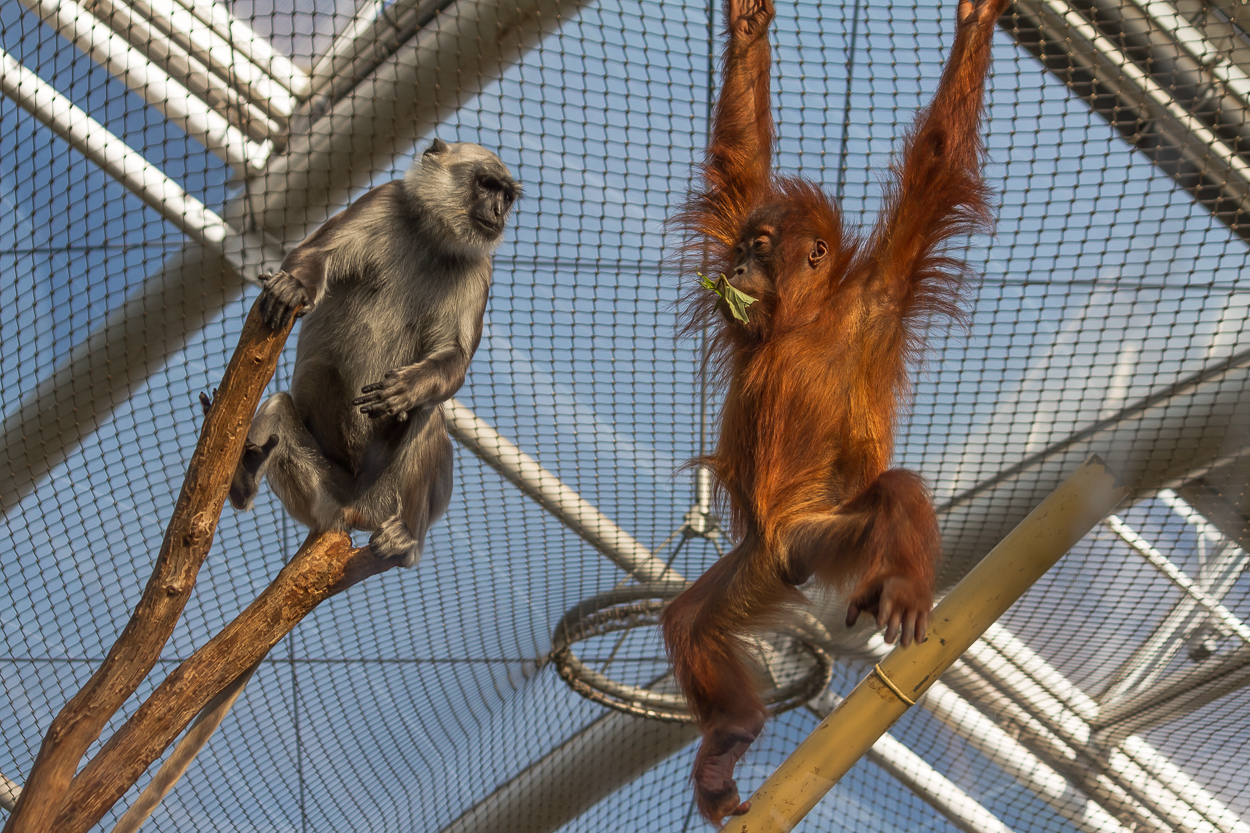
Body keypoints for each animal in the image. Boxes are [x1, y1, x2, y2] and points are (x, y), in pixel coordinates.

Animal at [232, 137, 520, 565]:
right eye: (486, 185)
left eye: (506, 195)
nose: (498, 211)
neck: (432, 239)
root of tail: (355, 508)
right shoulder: (385, 198)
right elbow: (314, 254)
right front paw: (292, 287)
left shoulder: (479, 264)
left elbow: (454, 359)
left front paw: (407, 388)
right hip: (325, 495)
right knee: (279, 406)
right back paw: (243, 480)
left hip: (386, 498)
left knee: (427, 416)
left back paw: (405, 541)